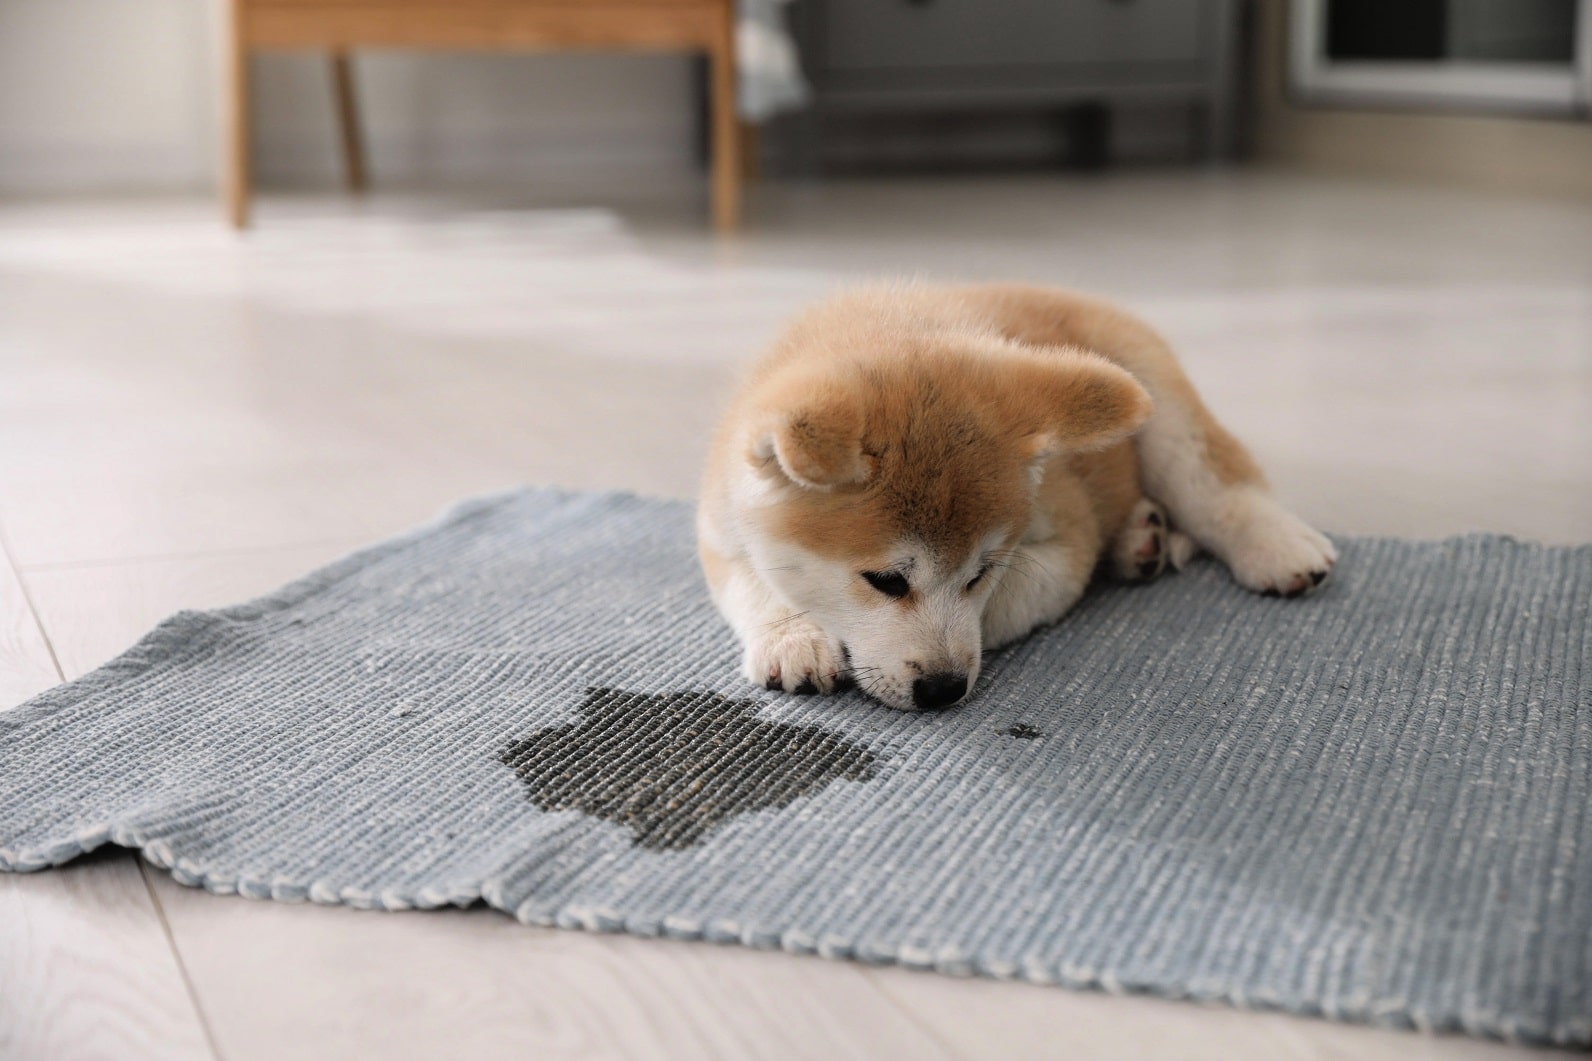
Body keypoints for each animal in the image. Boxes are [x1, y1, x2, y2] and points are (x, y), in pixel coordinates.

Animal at [697, 285, 1330, 707]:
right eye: (886, 581)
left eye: (979, 574)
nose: (943, 689)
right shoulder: (718, 524)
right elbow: (752, 584)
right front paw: (794, 637)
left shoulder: (1066, 542)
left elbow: (1009, 601)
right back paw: (1139, 541)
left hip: (1160, 406)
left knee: (1217, 485)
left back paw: (1278, 547)